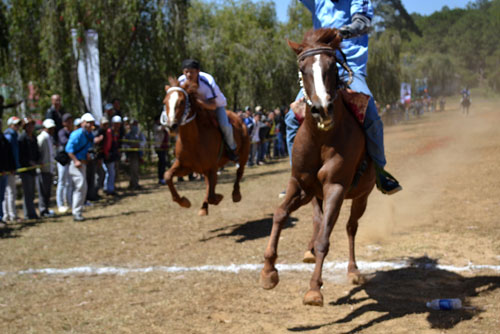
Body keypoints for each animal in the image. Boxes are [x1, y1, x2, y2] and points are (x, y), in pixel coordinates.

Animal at [162, 80, 250, 218]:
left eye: (181, 101)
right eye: (164, 102)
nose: (171, 126)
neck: (193, 140)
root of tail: (240, 119)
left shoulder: (211, 167)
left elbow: (212, 196)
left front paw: (219, 197)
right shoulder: (186, 167)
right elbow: (167, 175)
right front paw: (184, 201)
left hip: (243, 154)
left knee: (239, 171)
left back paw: (236, 194)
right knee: (209, 185)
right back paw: (204, 207)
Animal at [262, 28, 376, 306]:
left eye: (332, 66)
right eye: (302, 69)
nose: (322, 108)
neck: (322, 137)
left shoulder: (335, 187)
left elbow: (327, 236)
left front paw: (314, 288)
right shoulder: (300, 184)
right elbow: (279, 214)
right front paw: (268, 272)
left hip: (361, 196)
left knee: (350, 227)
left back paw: (353, 270)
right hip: (314, 194)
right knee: (317, 220)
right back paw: (309, 251)